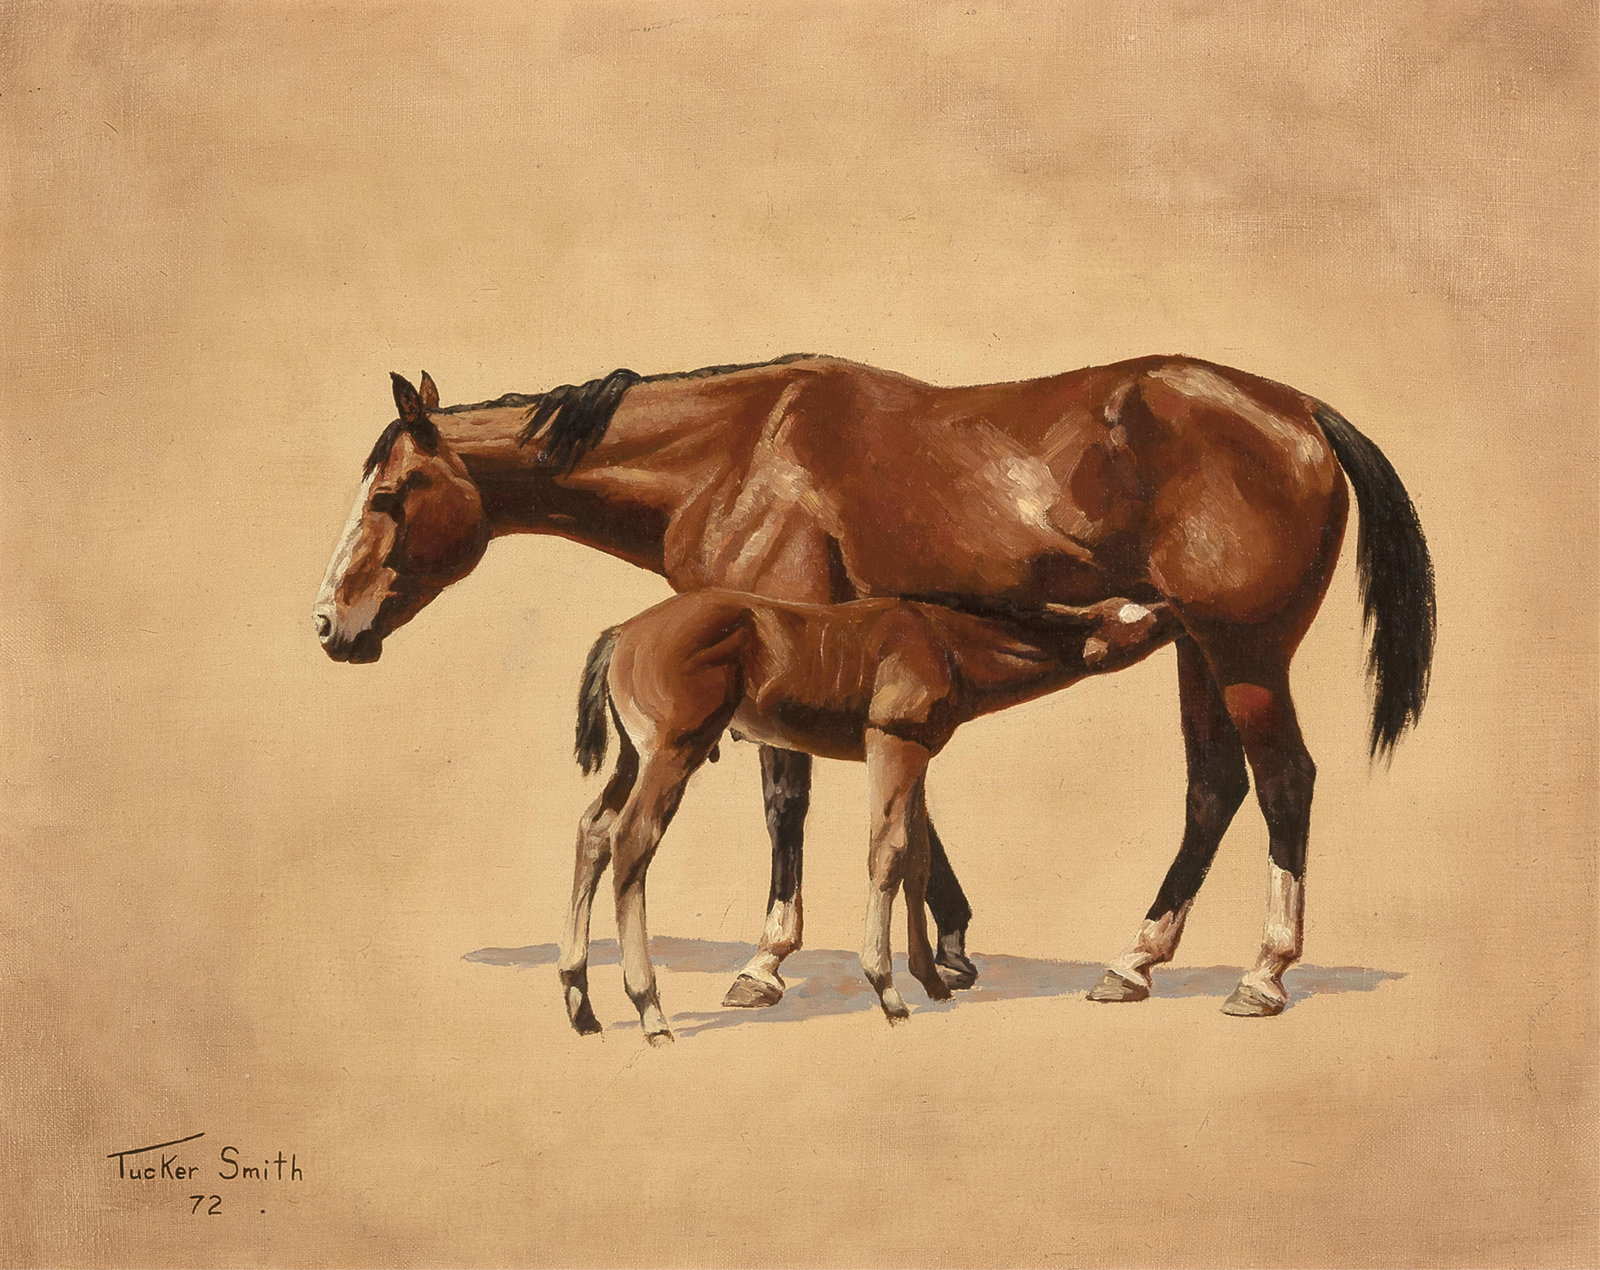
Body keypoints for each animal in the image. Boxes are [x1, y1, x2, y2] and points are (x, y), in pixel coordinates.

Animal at [560, 589, 1180, 1044]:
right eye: (1135, 616)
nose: (1176, 610)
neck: (945, 641)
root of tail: (623, 633)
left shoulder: (919, 754)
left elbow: (918, 860)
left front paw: (931, 981)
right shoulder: (890, 743)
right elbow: (888, 851)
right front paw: (887, 990)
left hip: (633, 757)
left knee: (593, 830)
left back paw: (579, 1000)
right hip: (671, 755)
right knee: (631, 841)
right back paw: (650, 1011)